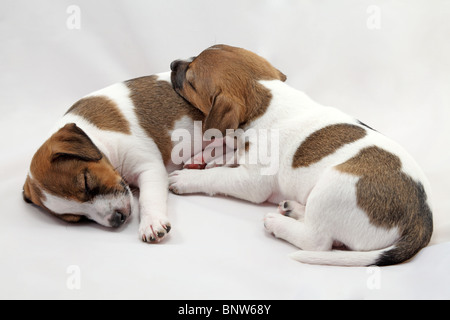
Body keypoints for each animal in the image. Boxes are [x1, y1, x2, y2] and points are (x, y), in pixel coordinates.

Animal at [22, 72, 202, 242]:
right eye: (78, 218)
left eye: (86, 182)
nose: (117, 219)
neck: (96, 136)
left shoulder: (149, 168)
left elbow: (148, 198)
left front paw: (150, 222)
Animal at [168, 44, 432, 264]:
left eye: (190, 80)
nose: (172, 63)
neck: (266, 96)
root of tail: (422, 217)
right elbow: (231, 151)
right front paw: (205, 158)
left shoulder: (250, 182)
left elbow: (217, 176)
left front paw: (187, 178)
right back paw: (292, 209)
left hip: (331, 188)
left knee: (318, 241)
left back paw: (279, 224)